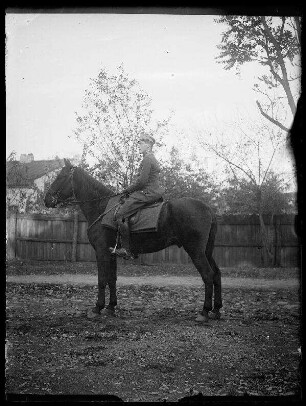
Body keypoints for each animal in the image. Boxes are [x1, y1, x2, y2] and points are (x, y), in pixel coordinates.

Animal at [44, 159, 222, 324]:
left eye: (60, 176)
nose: (46, 199)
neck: (101, 207)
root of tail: (208, 209)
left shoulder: (101, 252)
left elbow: (102, 279)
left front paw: (97, 308)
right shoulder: (111, 253)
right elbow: (112, 279)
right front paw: (111, 307)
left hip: (195, 251)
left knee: (208, 275)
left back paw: (204, 312)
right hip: (206, 251)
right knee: (216, 274)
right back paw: (216, 310)